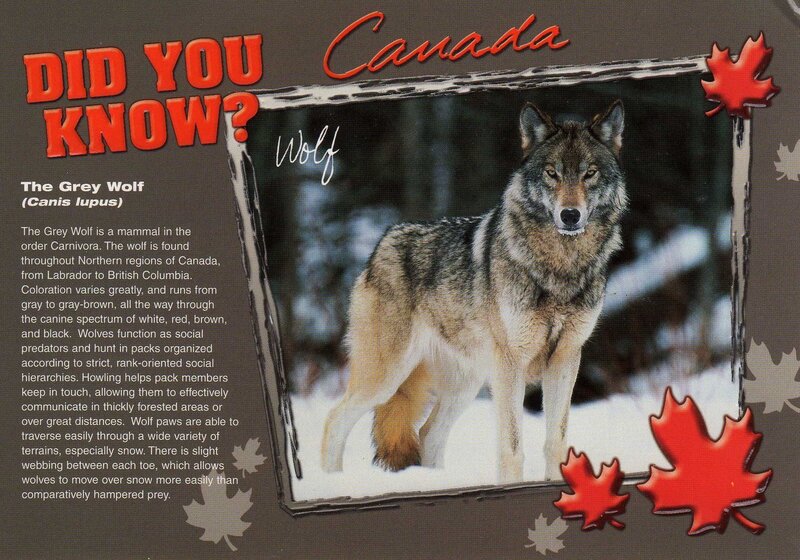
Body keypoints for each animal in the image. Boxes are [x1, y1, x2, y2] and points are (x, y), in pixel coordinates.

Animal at [320, 100, 627, 483]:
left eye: (589, 174)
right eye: (552, 174)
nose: (570, 215)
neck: (560, 267)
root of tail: (382, 243)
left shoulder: (566, 359)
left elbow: (555, 443)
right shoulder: (511, 365)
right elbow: (512, 449)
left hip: (466, 385)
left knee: (427, 435)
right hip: (386, 378)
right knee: (335, 421)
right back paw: (331, 482)